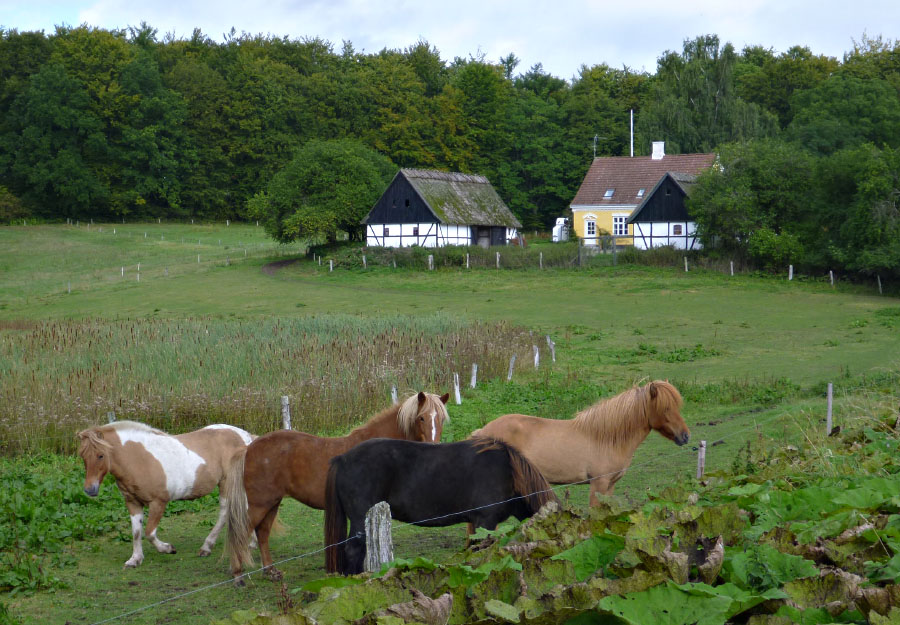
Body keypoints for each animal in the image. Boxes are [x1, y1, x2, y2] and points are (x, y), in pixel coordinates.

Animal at [76, 416, 253, 568]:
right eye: (83, 456)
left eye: (100, 455)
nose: (90, 489)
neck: (138, 458)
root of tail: (246, 437)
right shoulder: (133, 503)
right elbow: (136, 532)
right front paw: (135, 559)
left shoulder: (158, 503)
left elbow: (149, 533)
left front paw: (168, 549)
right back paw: (249, 543)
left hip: (228, 484)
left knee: (226, 513)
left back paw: (207, 547)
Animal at [225, 388, 450, 584]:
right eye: (421, 418)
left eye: (441, 419)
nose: (433, 447)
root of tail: (248, 448)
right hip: (259, 504)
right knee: (240, 534)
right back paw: (238, 576)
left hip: (272, 503)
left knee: (262, 533)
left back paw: (271, 572)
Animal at [472, 380, 688, 508]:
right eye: (666, 408)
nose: (685, 436)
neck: (606, 438)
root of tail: (481, 432)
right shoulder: (598, 484)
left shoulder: (610, 486)